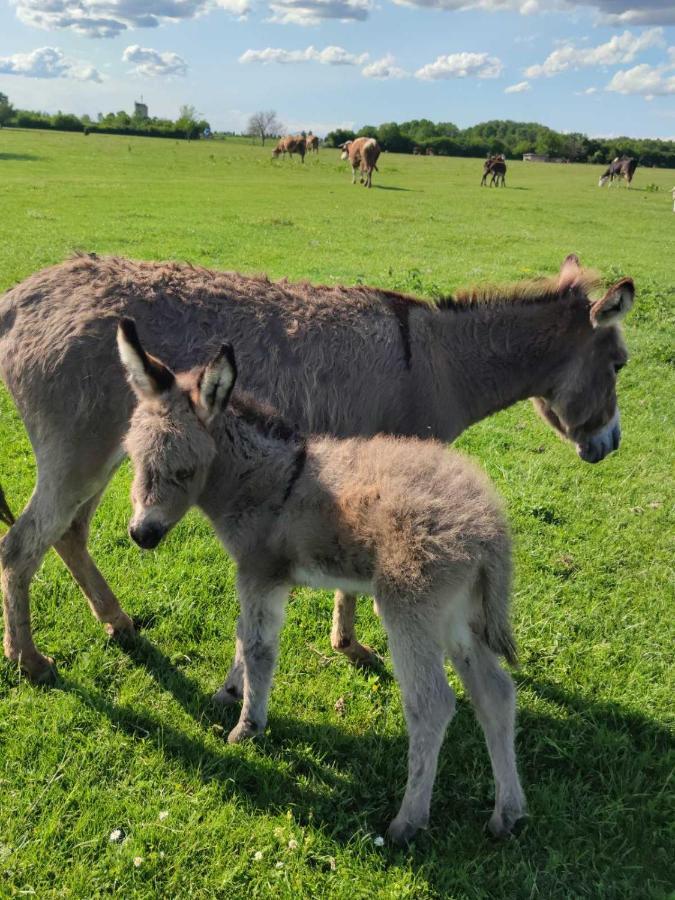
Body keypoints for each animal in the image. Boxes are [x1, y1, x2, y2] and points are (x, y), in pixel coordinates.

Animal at [0, 250, 632, 680]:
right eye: (620, 364)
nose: (612, 444)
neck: (438, 363)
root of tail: (20, 296)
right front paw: (350, 644)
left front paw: (344, 640)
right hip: (78, 455)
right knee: (21, 545)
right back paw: (29, 659)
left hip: (111, 455)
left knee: (69, 534)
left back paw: (116, 620)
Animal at [116, 318, 528, 844]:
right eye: (133, 458)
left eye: (185, 471)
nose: (141, 534)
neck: (270, 480)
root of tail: (490, 527)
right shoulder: (261, 578)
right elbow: (242, 637)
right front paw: (229, 693)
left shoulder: (260, 573)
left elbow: (258, 648)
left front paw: (247, 727)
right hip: (457, 616)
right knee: (495, 695)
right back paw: (507, 814)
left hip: (409, 607)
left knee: (432, 704)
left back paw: (407, 821)